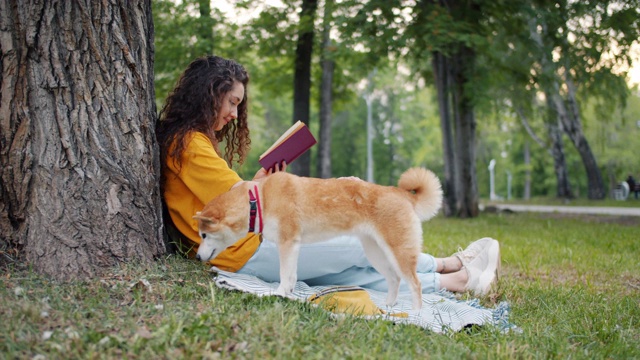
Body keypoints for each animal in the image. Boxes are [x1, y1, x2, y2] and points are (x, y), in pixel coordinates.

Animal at [192, 168, 442, 310]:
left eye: (204, 235)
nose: (196, 256)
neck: (259, 200)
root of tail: (401, 194)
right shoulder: (292, 245)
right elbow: (292, 275)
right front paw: (289, 294)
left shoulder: (287, 242)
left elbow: (284, 274)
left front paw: (279, 293)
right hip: (375, 252)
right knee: (394, 279)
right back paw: (389, 307)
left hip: (398, 251)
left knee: (415, 284)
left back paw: (416, 313)